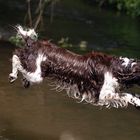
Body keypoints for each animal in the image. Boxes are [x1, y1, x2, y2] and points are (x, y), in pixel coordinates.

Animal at [8, 25, 140, 108]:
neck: (120, 69)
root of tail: (33, 43)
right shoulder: (103, 94)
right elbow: (126, 95)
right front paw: (137, 101)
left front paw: (137, 102)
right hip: (36, 74)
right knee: (15, 55)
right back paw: (13, 75)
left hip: (36, 73)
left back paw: (23, 81)